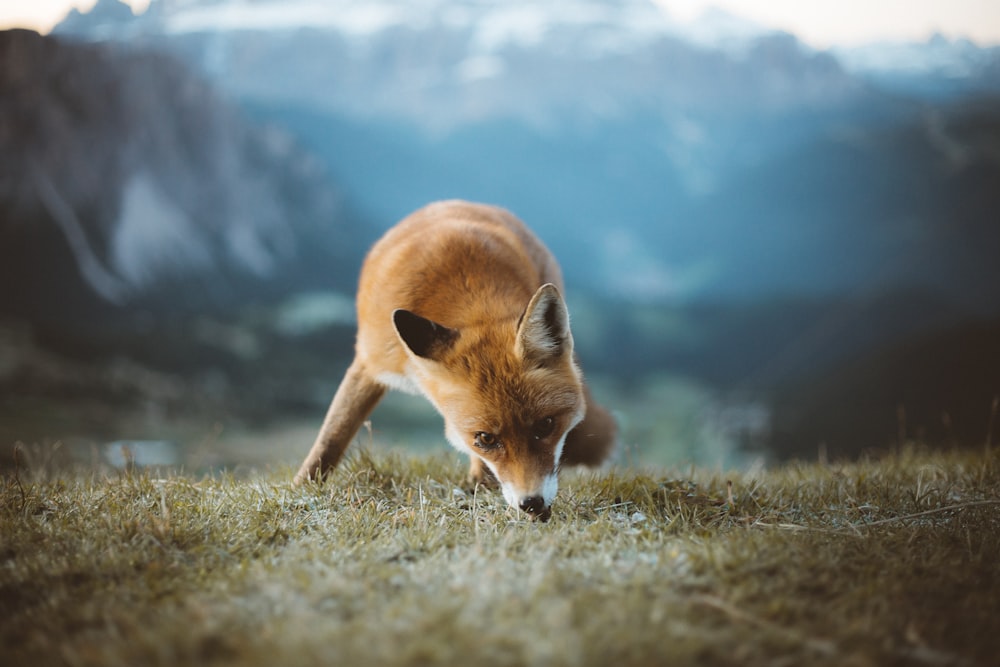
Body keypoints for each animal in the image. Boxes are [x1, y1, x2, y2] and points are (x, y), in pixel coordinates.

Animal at [292, 201, 612, 520]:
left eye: (546, 425)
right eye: (486, 438)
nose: (532, 504)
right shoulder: (369, 363)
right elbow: (333, 434)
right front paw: (303, 485)